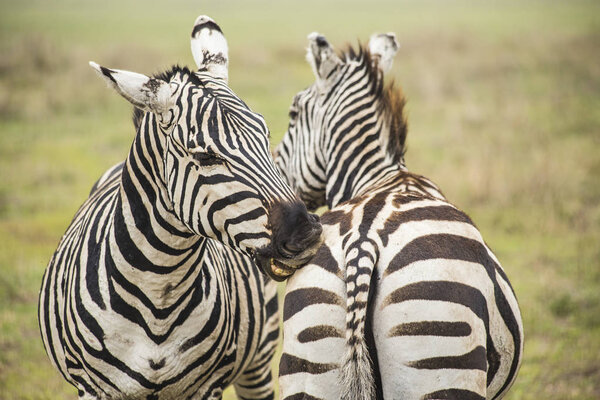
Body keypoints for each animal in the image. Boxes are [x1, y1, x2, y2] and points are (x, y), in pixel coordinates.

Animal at [38, 16, 324, 400]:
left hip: (259, 360)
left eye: (266, 136)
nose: (306, 234)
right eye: (205, 157)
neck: (160, 293)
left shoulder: (206, 386)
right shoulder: (91, 387)